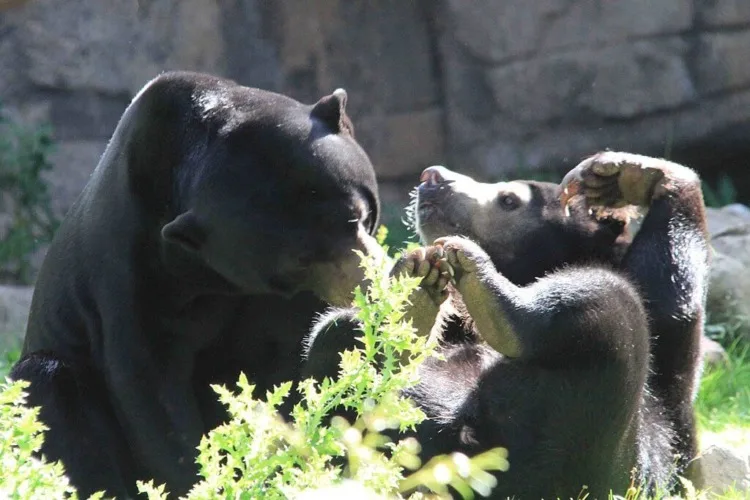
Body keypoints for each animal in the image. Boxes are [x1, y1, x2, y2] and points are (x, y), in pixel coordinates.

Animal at [13, 72, 382, 498]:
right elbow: (148, 384)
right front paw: (203, 478)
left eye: (356, 216)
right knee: (47, 384)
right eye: (299, 262)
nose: (365, 280)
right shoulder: (131, 266)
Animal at [302, 153, 708, 500]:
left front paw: (628, 174)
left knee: (608, 303)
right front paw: (616, 177)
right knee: (335, 337)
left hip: (605, 455)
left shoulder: (664, 410)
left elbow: (669, 290)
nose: (432, 177)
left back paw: (490, 299)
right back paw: (410, 309)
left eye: (508, 200)